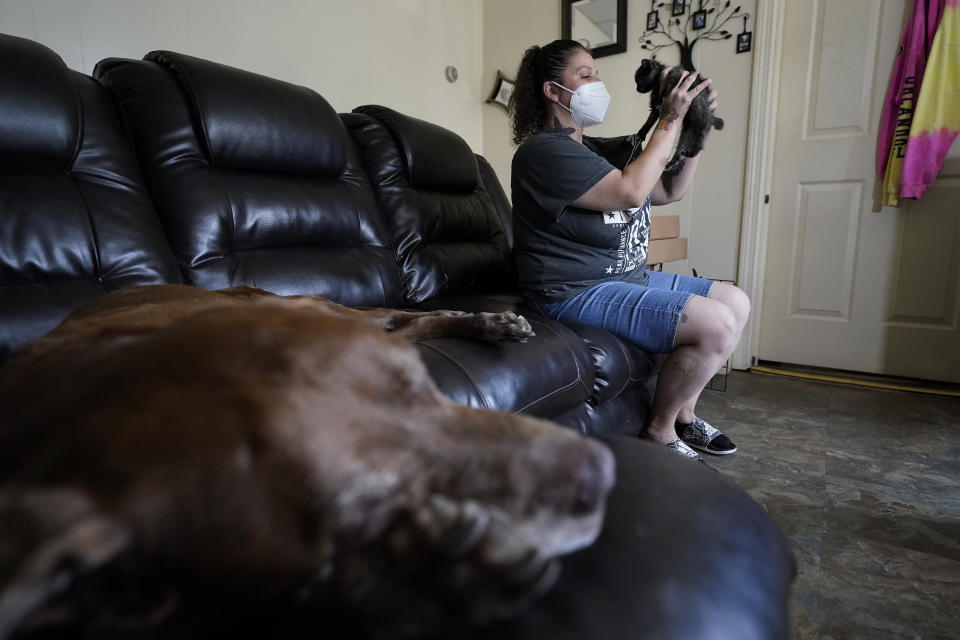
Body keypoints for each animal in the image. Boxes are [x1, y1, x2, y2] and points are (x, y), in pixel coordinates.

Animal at [0, 286, 616, 640]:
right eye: (359, 521)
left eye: (421, 385)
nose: (602, 473)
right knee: (404, 324)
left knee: (402, 318)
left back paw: (491, 323)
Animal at [632, 59, 724, 195]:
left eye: (638, 79)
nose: (637, 89)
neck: (658, 80)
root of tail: (710, 117)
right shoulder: (655, 106)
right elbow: (648, 122)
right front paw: (641, 133)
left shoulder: (672, 81)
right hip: (686, 132)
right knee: (682, 150)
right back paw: (674, 161)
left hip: (697, 123)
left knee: (698, 144)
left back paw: (689, 153)